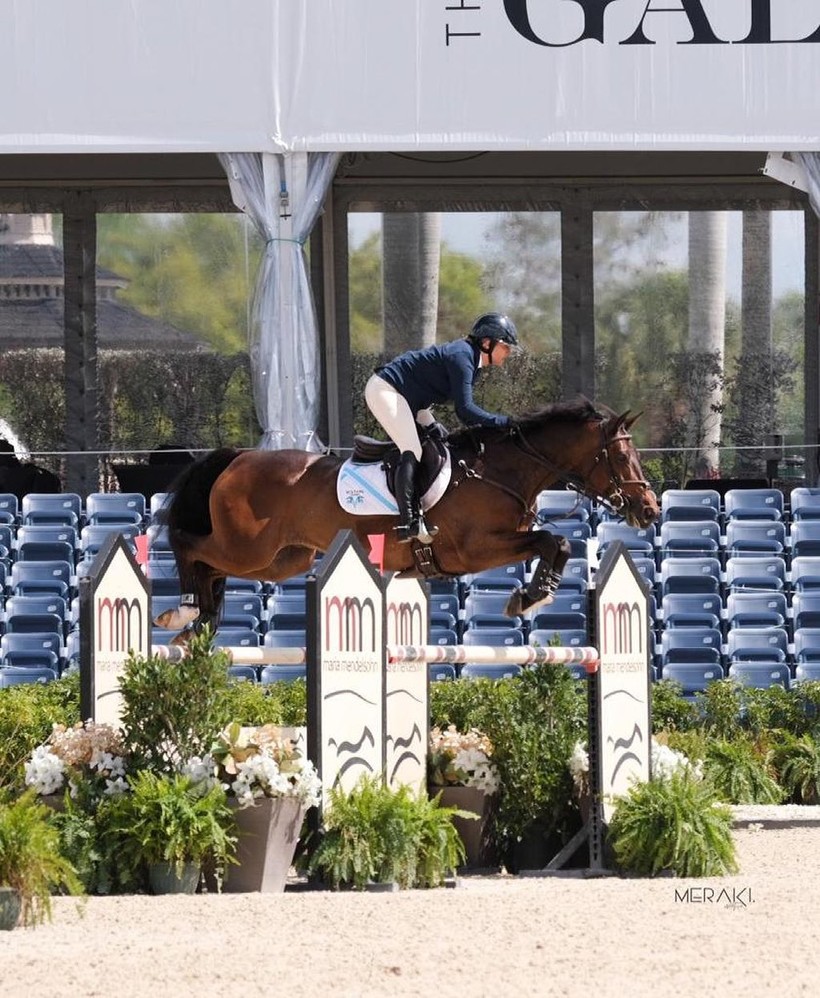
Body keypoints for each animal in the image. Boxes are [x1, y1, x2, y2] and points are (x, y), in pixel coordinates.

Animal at [154, 398, 660, 640]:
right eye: (621, 456)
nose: (650, 509)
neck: (499, 471)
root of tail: (238, 459)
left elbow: (559, 543)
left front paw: (535, 594)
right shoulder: (474, 549)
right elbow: (552, 541)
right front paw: (530, 597)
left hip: (281, 559)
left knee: (212, 567)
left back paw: (198, 622)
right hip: (247, 545)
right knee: (189, 544)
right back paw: (183, 609)